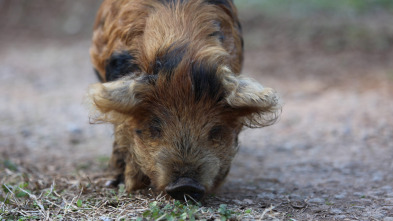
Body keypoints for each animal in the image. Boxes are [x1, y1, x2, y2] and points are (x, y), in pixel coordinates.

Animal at [87, 0, 280, 201]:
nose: (185, 185)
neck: (183, 60)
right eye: (154, 128)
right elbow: (124, 132)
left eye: (215, 130)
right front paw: (130, 185)